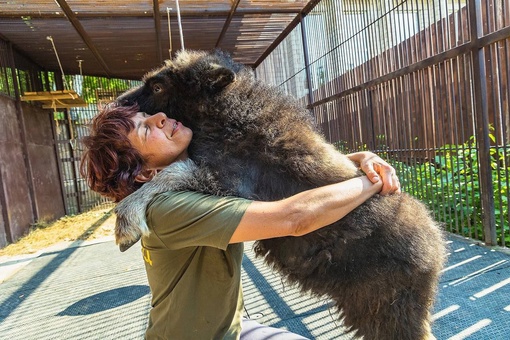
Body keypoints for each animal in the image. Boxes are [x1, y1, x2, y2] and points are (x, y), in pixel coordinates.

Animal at [114, 48, 446, 340]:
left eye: (157, 85)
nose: (117, 107)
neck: (229, 115)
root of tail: (436, 242)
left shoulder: (224, 181)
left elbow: (172, 172)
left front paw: (125, 221)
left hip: (388, 313)